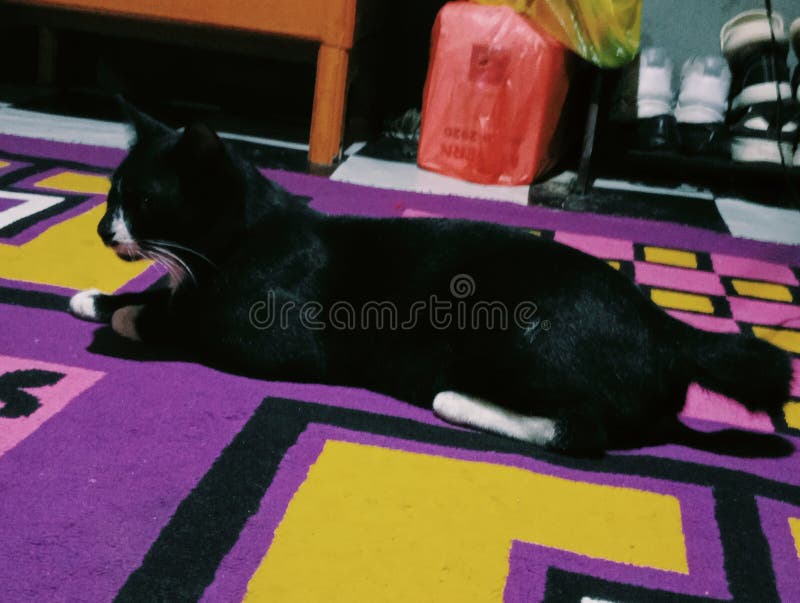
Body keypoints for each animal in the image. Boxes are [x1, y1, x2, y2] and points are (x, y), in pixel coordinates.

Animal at [70, 101, 792, 456]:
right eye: (109, 194)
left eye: (143, 200)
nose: (102, 230)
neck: (242, 237)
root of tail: (670, 330)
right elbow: (166, 293)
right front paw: (94, 296)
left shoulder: (266, 337)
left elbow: (183, 320)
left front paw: (124, 312)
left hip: (522, 334)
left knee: (581, 433)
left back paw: (456, 400)